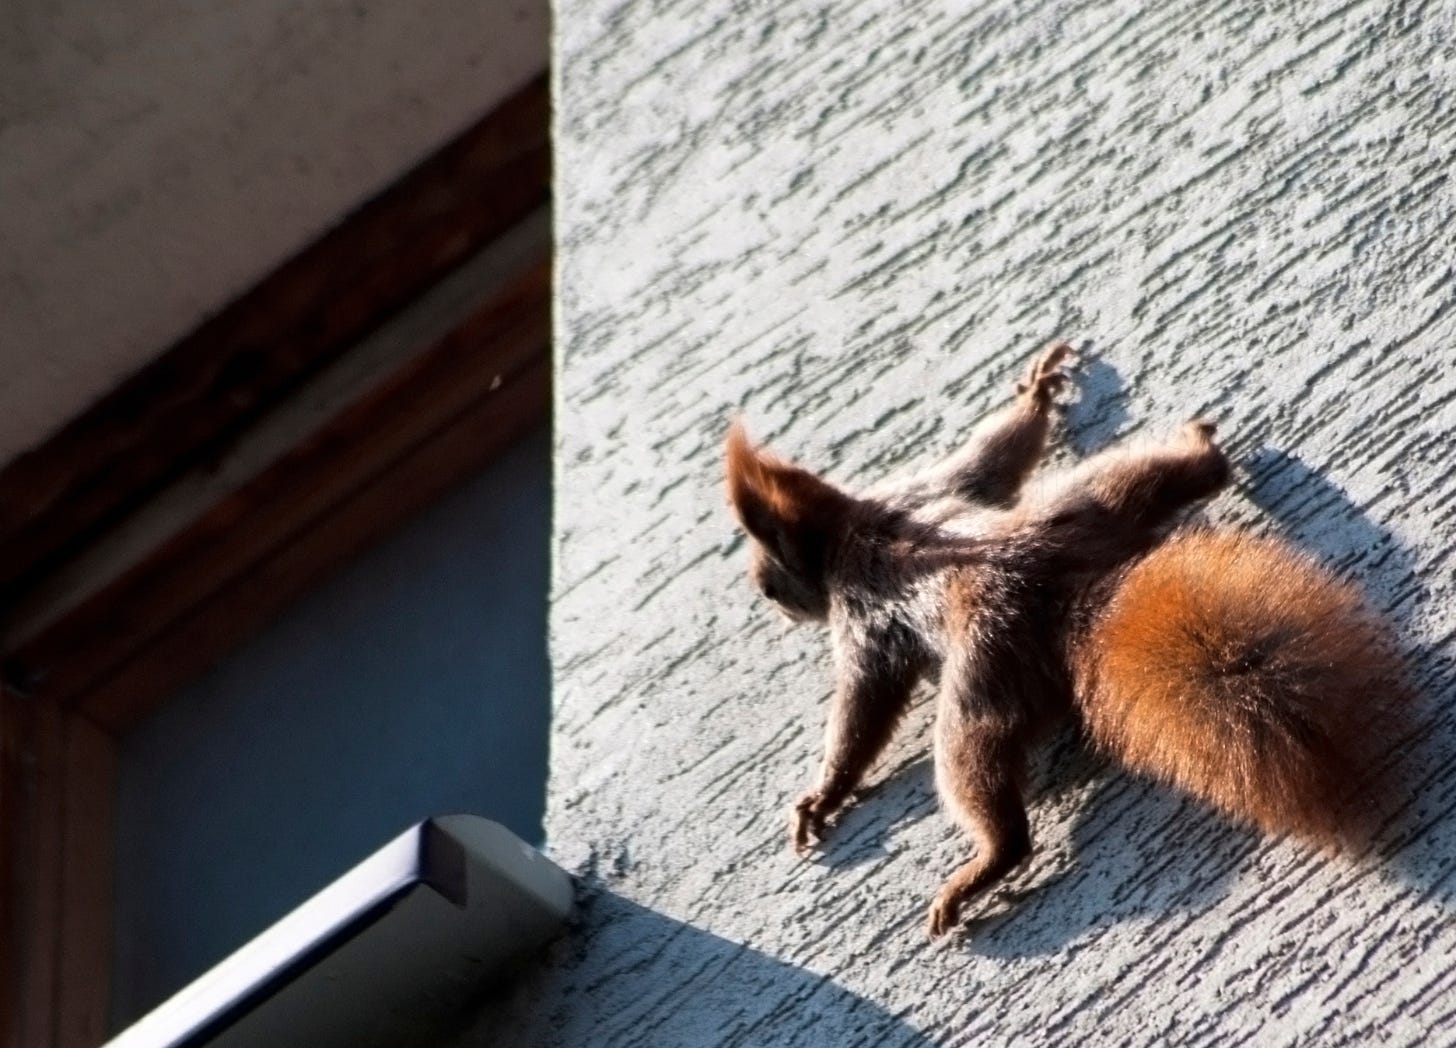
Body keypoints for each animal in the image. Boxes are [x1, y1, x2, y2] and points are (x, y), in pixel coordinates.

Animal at [724, 343, 1409, 937]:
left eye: (771, 581)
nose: (767, 596)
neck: (846, 527)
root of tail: (1066, 600)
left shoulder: (862, 622)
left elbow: (861, 716)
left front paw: (823, 795)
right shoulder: (935, 483)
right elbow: (995, 455)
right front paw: (1035, 396)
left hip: (983, 674)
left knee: (973, 761)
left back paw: (987, 865)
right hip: (1090, 501)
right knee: (1165, 477)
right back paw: (1200, 450)